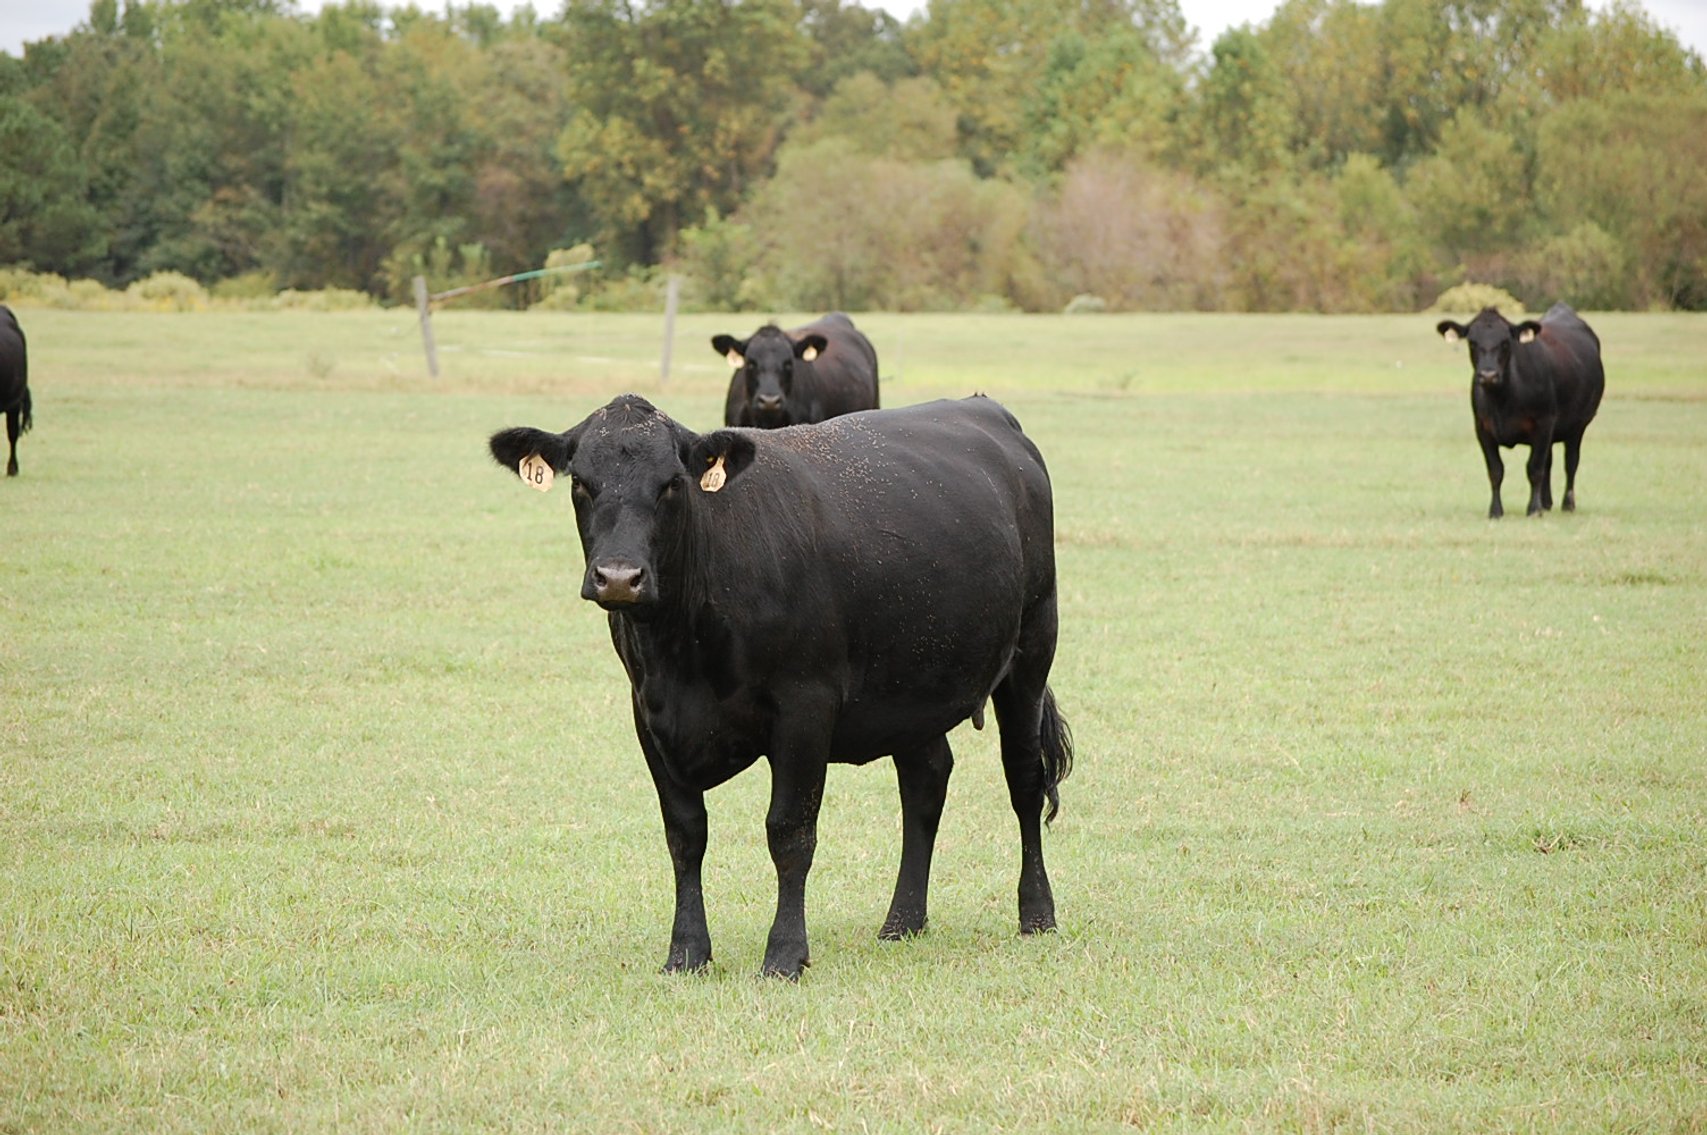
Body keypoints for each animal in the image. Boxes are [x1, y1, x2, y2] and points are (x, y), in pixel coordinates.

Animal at [489, 394, 1072, 979]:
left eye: (672, 483)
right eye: (582, 483)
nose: (618, 577)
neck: (680, 650)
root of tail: (985, 408)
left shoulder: (804, 707)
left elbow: (789, 831)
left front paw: (786, 953)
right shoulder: (647, 715)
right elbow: (685, 834)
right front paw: (687, 952)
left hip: (1031, 653)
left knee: (1024, 780)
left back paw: (1037, 914)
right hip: (913, 687)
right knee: (926, 783)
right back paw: (903, 921)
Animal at [1437, 303, 1605, 518]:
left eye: (1505, 342)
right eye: (1472, 342)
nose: (1488, 375)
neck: (1502, 401)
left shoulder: (1544, 424)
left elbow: (1534, 469)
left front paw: (1533, 510)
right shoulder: (1483, 428)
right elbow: (1496, 470)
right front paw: (1496, 511)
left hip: (1578, 425)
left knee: (1570, 463)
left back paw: (1567, 504)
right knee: (1549, 462)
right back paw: (1546, 502)